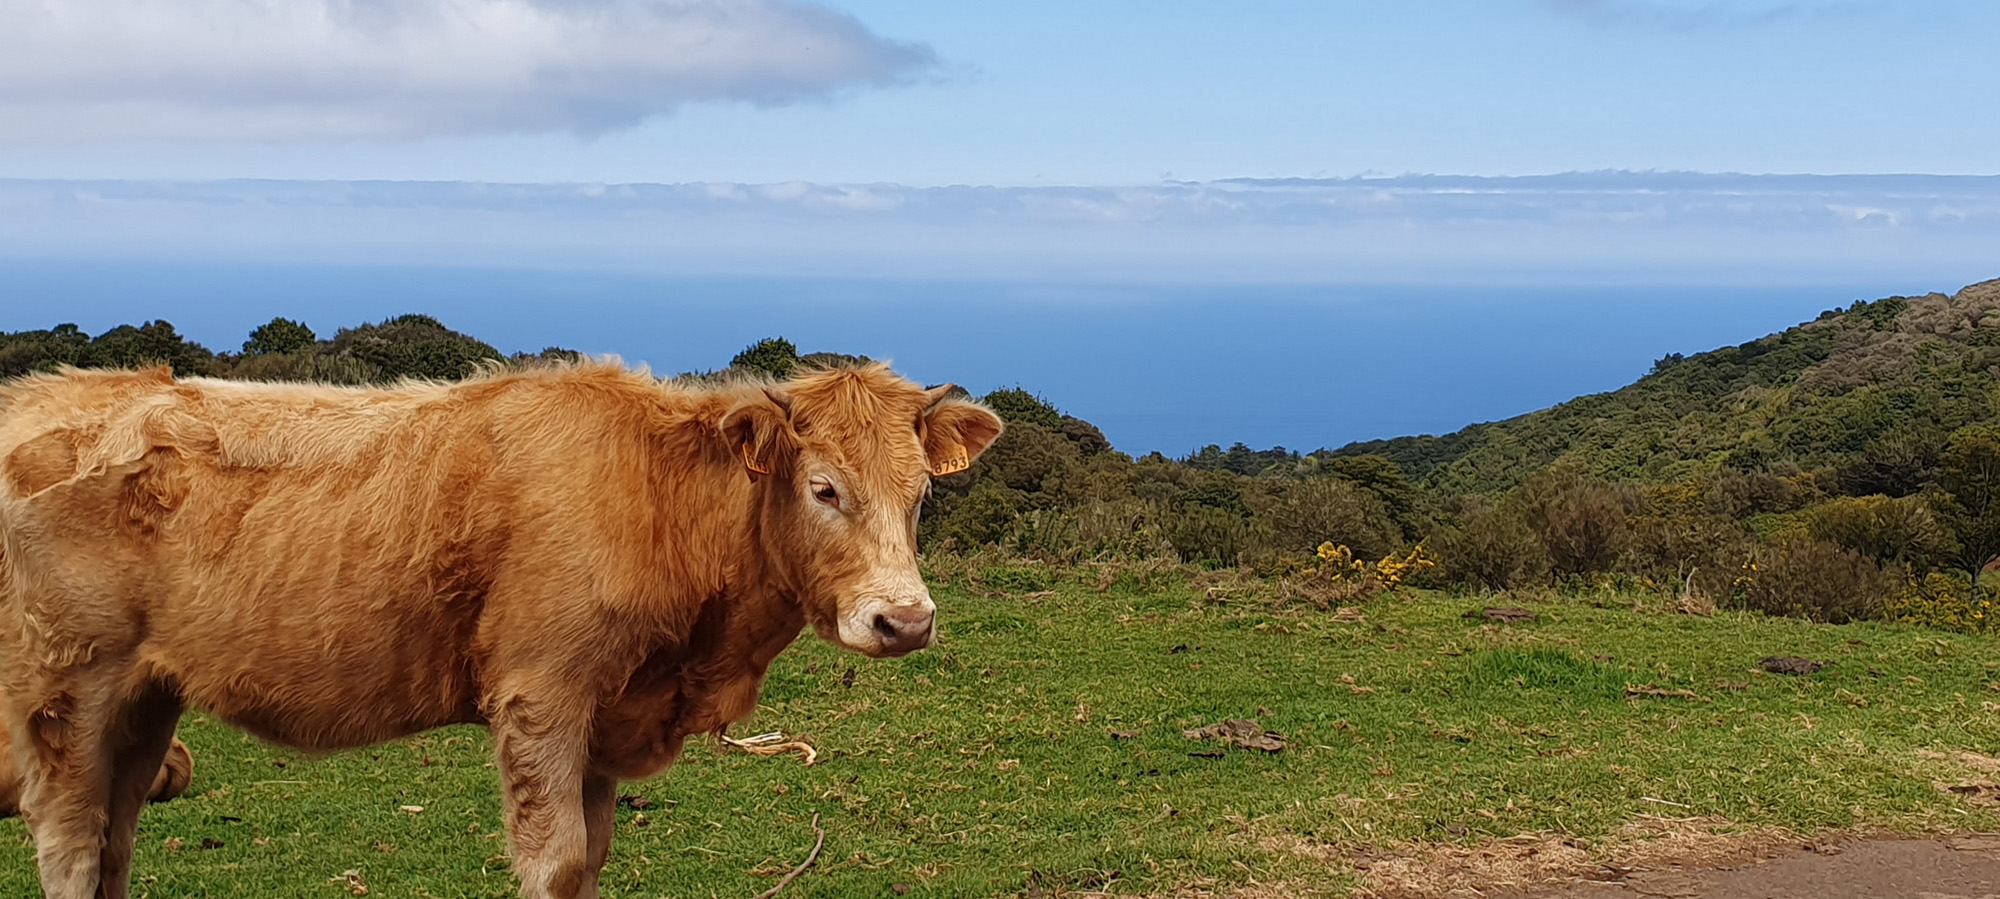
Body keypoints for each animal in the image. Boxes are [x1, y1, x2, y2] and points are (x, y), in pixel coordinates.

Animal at [0, 360, 1003, 899]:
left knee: (114, 842)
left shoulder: (607, 714)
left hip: (145, 698)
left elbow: (592, 860)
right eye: (824, 487)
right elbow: (555, 863)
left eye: (922, 492)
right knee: (72, 840)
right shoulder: (542, 695)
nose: (906, 618)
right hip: (67, 689)